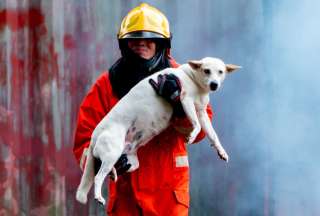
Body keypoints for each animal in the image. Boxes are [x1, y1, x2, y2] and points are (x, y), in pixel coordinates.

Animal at [75, 56, 240, 205]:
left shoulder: (202, 114)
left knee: (114, 168)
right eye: (206, 71)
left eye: (220, 72)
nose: (214, 84)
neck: (193, 78)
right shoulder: (185, 101)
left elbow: (212, 135)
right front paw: (192, 135)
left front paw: (221, 151)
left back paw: (114, 172)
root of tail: (95, 134)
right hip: (112, 152)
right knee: (98, 177)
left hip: (128, 159)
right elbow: (196, 125)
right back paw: (99, 196)